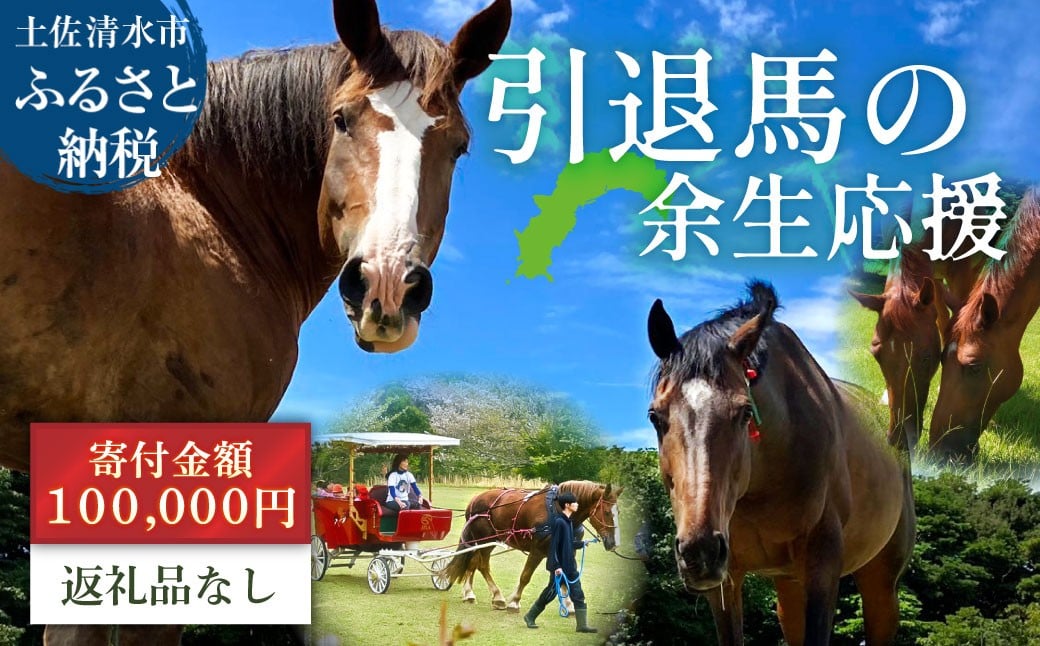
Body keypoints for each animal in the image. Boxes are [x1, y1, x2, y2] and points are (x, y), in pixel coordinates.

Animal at [443, 480, 622, 612]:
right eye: (606, 512)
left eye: (618, 512)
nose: (614, 543)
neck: (559, 512)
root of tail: (475, 499)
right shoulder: (537, 550)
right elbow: (525, 576)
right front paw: (514, 602)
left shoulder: (566, 550)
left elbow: (564, 577)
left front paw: (569, 605)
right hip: (482, 540)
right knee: (481, 564)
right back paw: (495, 596)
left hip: (487, 541)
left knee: (474, 563)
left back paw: (472, 593)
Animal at [648, 281, 915, 645]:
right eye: (655, 416)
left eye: (745, 412)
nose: (699, 551)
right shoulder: (727, 579)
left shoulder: (822, 565)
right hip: (789, 585)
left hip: (881, 581)